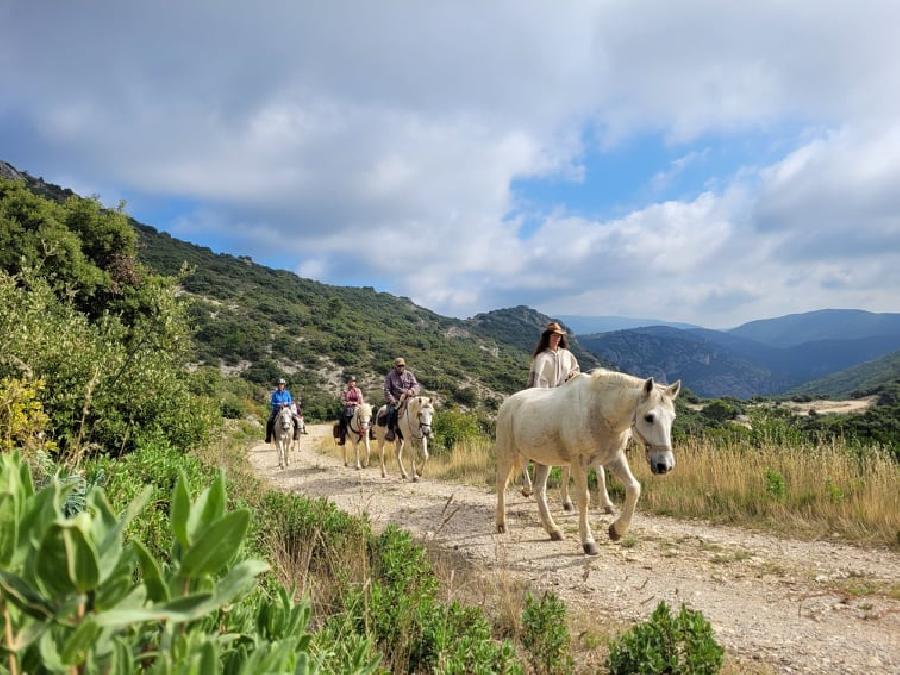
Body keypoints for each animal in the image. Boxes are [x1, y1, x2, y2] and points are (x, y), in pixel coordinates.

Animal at [496, 372, 680, 556]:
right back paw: (501, 524)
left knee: (539, 490)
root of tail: (508, 402)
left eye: (673, 418)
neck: (599, 411)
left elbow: (634, 488)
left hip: (543, 460)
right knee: (502, 485)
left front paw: (616, 530)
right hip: (507, 454)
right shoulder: (579, 461)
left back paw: (553, 530)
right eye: (649, 417)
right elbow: (584, 498)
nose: (665, 465)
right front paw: (588, 542)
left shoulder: (615, 459)